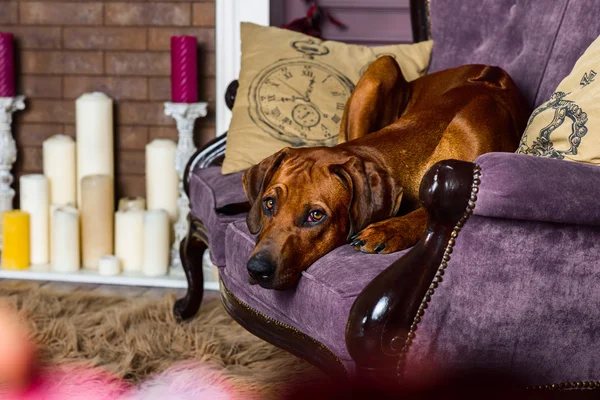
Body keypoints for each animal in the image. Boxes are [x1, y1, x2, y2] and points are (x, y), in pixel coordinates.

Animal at [241, 56, 528, 290]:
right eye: (269, 203)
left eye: (316, 215)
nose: (256, 269)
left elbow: (434, 210)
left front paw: (389, 229)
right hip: (383, 66)